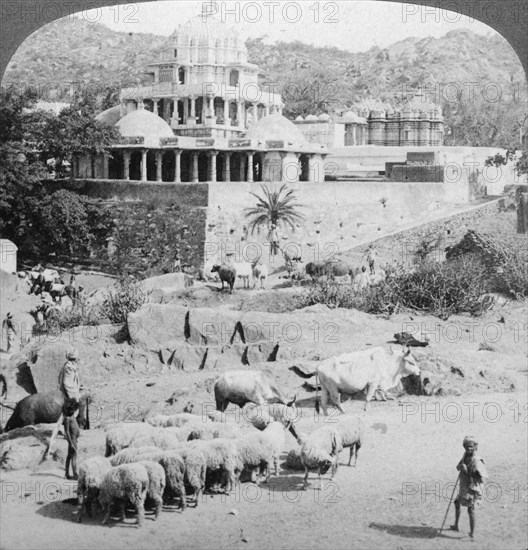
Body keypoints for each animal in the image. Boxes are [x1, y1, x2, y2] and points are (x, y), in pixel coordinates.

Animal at [292, 350, 420, 414]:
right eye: (411, 362)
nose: (419, 371)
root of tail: (318, 366)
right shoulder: (373, 383)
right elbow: (368, 397)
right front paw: (366, 409)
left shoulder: (373, 384)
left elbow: (376, 393)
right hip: (332, 388)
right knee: (335, 400)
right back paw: (343, 411)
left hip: (324, 388)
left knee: (323, 401)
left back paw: (326, 414)